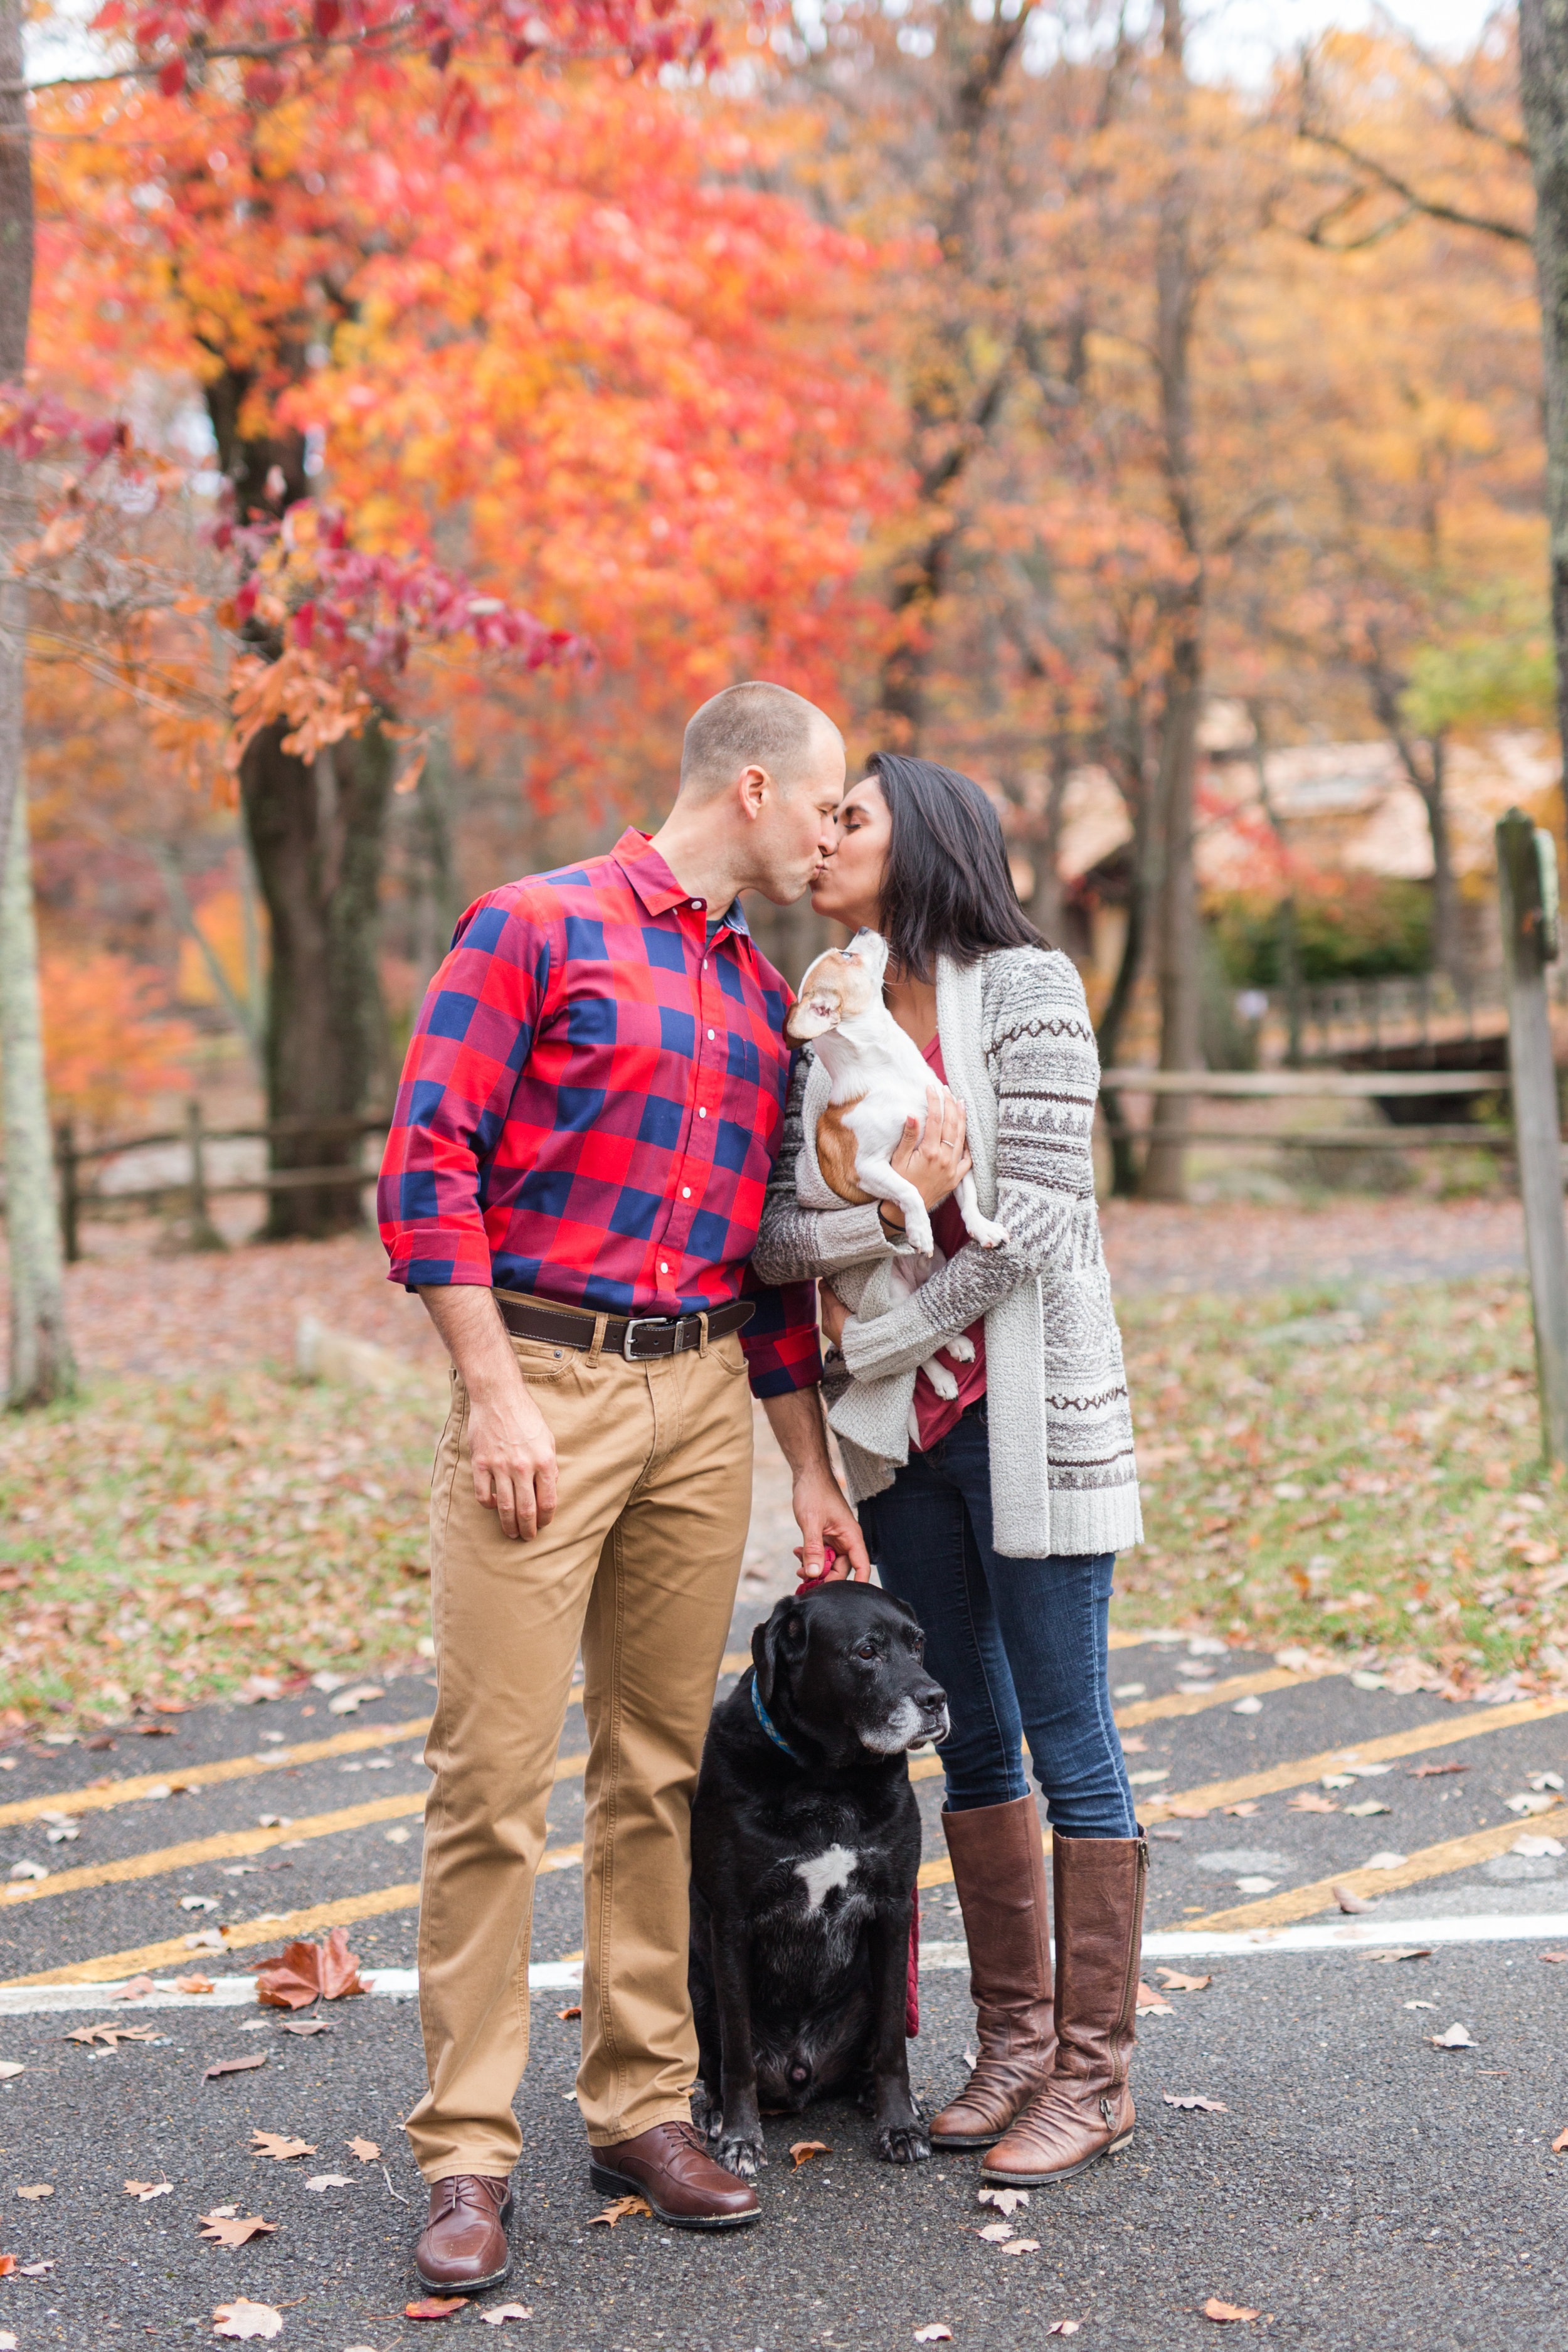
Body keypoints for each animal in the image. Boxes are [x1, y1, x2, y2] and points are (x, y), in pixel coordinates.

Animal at [691, 1581, 959, 2183]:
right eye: (867, 1652)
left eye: (918, 1643)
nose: (936, 1698)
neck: (827, 1778)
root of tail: (799, 2071)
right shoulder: (731, 1923)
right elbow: (737, 2054)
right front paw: (741, 2137)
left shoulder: (892, 1911)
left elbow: (892, 2044)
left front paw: (898, 2125)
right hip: (699, 1985)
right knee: (715, 2057)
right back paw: (715, 2110)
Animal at [780, 922, 1006, 1261]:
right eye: (846, 955)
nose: (864, 927)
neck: (894, 1076)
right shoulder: (867, 1168)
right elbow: (909, 1189)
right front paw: (920, 1230)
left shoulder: (956, 1149)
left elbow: (969, 1197)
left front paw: (981, 1227)